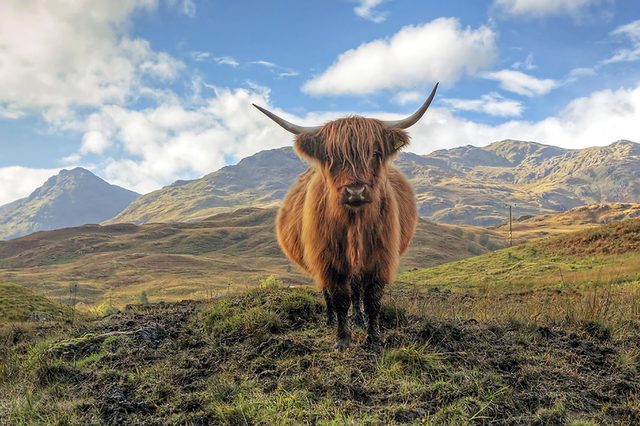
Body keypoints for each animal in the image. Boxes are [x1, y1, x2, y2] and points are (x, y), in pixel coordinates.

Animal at [252, 83, 438, 350]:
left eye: (375, 154)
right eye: (331, 157)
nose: (356, 191)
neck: (354, 223)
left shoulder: (379, 258)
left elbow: (372, 299)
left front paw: (374, 339)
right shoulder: (327, 259)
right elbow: (339, 298)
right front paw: (342, 339)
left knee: (357, 290)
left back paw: (359, 319)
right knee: (328, 292)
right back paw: (330, 320)